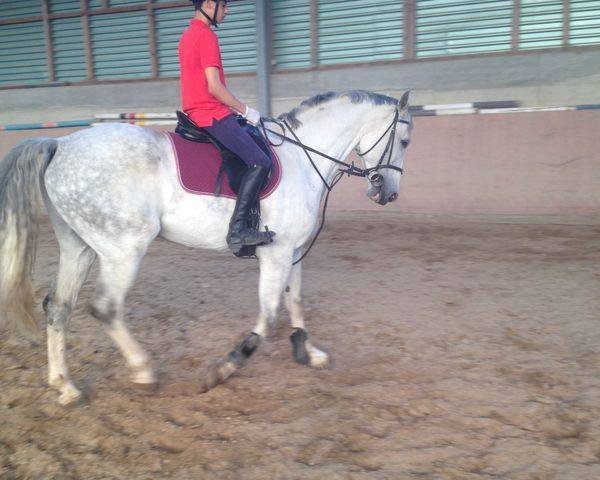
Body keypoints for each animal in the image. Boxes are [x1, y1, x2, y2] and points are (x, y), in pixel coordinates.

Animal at [0, 88, 412, 404]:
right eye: (405, 141)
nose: (387, 193)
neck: (302, 157)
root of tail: (59, 143)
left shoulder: (293, 252)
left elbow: (295, 302)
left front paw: (308, 352)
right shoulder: (276, 254)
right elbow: (269, 315)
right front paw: (224, 368)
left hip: (80, 247)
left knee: (59, 307)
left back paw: (65, 387)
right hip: (123, 248)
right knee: (105, 308)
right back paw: (144, 372)